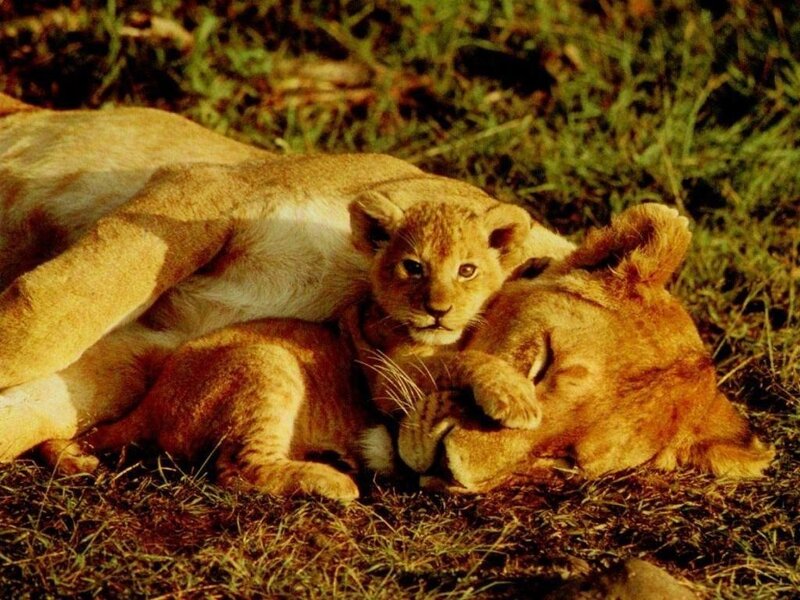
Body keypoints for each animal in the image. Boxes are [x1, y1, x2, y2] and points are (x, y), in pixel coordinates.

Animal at [0, 93, 572, 462]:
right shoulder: (205, 190)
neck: (353, 288)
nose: (455, 470)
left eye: (561, 461)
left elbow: (40, 398)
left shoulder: (159, 343)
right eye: (539, 362)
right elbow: (41, 325)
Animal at [55, 197, 540, 500]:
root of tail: (151, 401)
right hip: (269, 363)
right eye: (413, 267)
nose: (438, 310)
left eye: (467, 270)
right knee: (239, 469)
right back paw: (333, 481)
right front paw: (516, 398)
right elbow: (459, 358)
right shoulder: (388, 379)